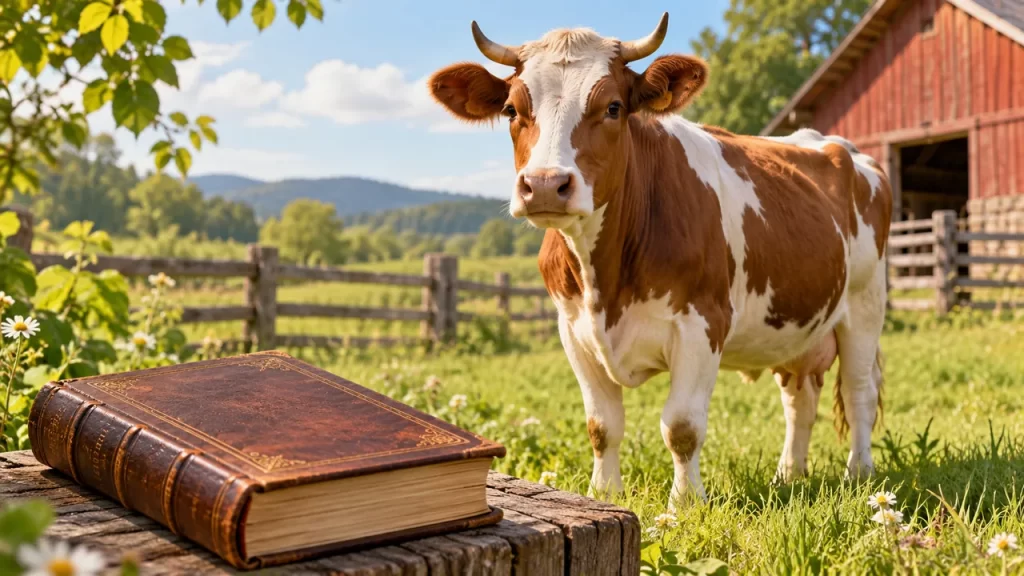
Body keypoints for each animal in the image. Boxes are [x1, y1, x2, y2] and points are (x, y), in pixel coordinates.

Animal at [427, 13, 892, 508]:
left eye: (613, 107)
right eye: (512, 110)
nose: (546, 184)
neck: (605, 279)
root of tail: (836, 145)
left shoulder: (702, 325)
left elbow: (682, 427)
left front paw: (686, 504)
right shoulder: (572, 329)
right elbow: (601, 425)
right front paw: (604, 492)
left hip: (865, 306)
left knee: (859, 392)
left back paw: (859, 474)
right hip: (798, 325)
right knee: (799, 399)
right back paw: (788, 476)